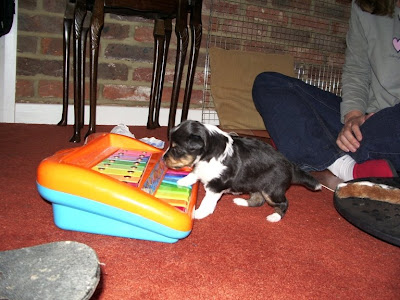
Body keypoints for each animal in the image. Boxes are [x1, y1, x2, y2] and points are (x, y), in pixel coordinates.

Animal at [163, 120, 322, 223]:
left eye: (176, 149)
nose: (164, 159)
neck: (208, 153)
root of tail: (290, 166)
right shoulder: (202, 168)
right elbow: (195, 173)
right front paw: (182, 181)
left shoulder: (216, 186)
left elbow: (207, 202)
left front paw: (197, 214)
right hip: (255, 185)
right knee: (258, 200)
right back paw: (241, 201)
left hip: (271, 190)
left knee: (283, 203)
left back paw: (274, 217)